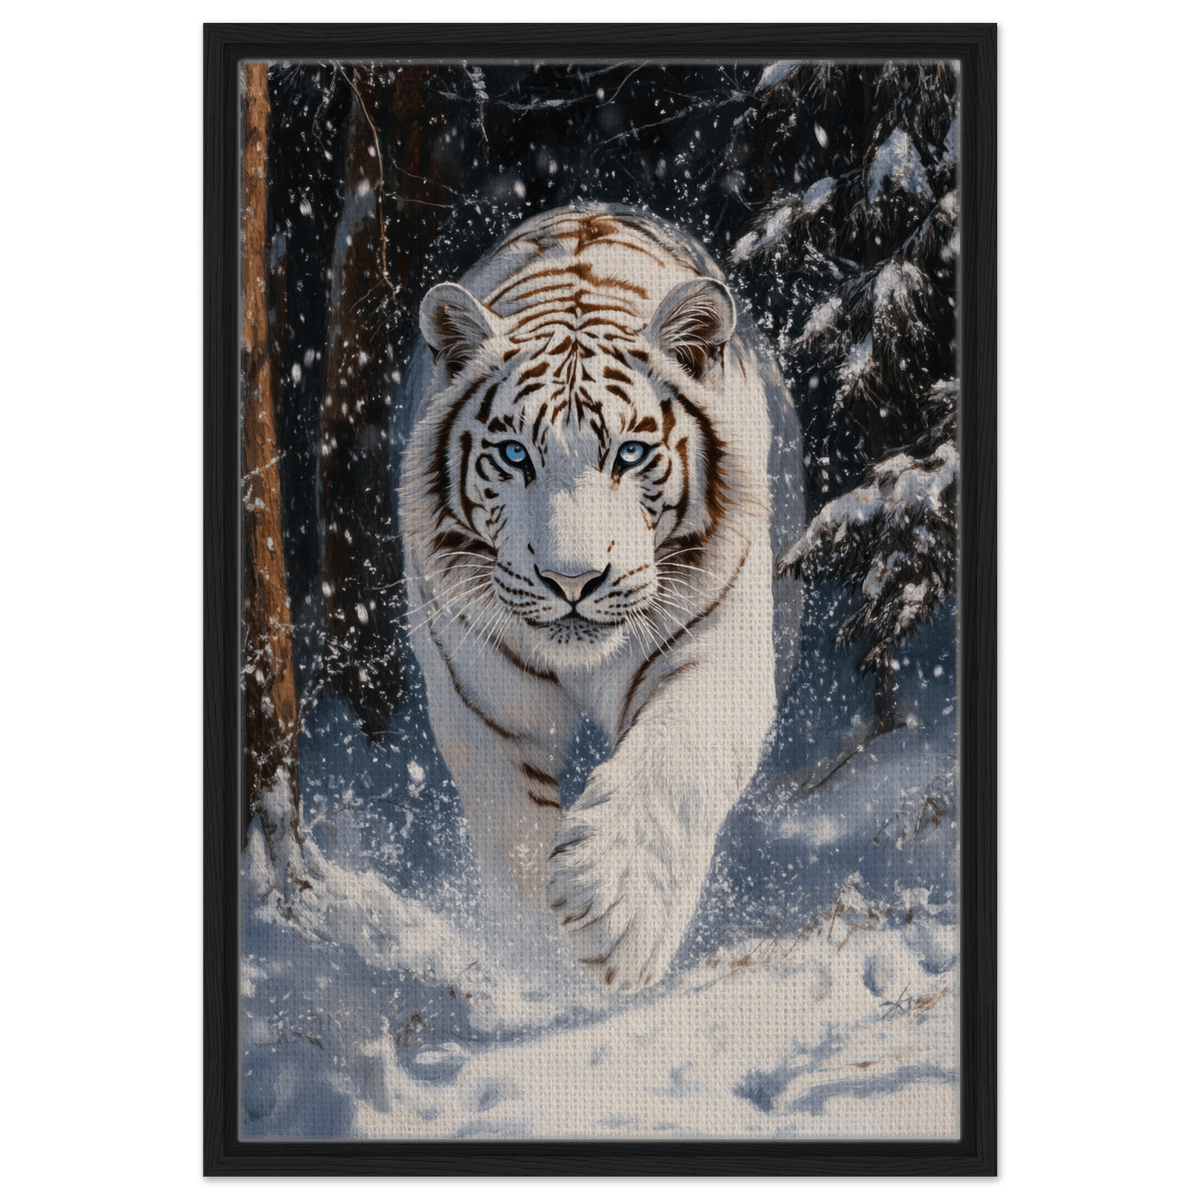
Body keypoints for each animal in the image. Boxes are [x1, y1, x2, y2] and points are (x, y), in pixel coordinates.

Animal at [399, 203, 804, 993]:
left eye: (632, 454)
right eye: (515, 455)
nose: (572, 580)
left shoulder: (718, 652)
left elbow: (675, 762)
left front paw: (616, 911)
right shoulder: (480, 698)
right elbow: (512, 833)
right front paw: (547, 963)